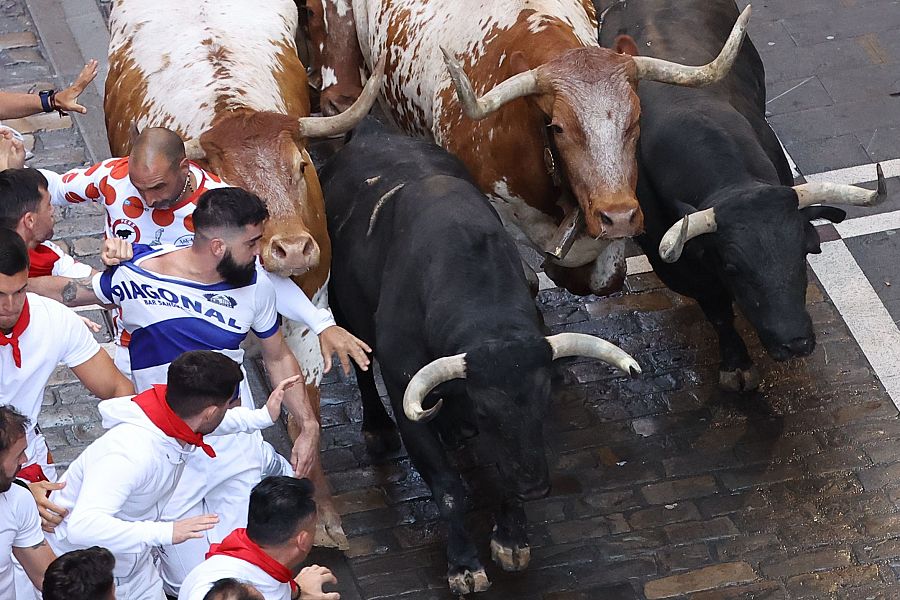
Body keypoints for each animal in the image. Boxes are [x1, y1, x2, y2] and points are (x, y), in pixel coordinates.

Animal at [104, 0, 380, 552]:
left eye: (301, 167)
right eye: (229, 184)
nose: (292, 249)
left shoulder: (305, 315)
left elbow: (304, 408)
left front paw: (321, 513)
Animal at [320, 117, 636, 596]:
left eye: (543, 403)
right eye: (487, 412)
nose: (535, 487)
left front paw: (511, 538)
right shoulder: (404, 389)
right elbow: (449, 487)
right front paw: (464, 565)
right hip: (344, 310)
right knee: (360, 371)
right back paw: (377, 429)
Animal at [596, 0, 884, 390]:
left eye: (804, 252)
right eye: (733, 266)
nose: (795, 342)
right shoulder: (683, 270)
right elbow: (718, 311)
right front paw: (736, 364)